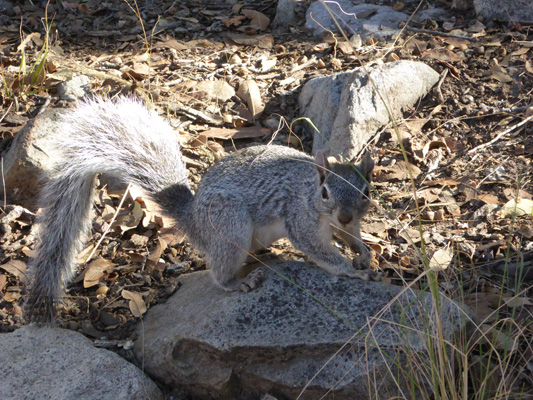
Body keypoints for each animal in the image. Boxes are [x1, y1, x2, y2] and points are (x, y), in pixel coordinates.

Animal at [25, 97, 378, 324]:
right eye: (325, 192)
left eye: (366, 191)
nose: (345, 215)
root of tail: (194, 219)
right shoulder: (299, 216)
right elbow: (316, 248)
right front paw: (351, 269)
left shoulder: (345, 225)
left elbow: (352, 236)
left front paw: (364, 253)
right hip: (229, 221)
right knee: (220, 270)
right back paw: (237, 282)